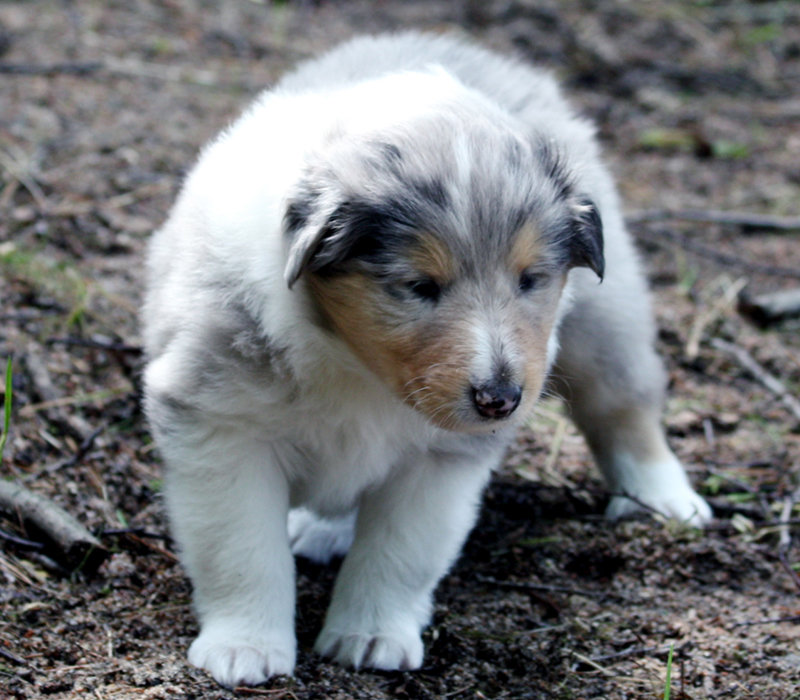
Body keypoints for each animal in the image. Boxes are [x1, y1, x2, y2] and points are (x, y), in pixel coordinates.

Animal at [144, 30, 712, 688]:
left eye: (530, 280)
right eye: (419, 286)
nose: (500, 401)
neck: (355, 366)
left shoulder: (440, 462)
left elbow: (398, 554)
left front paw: (371, 636)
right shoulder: (219, 426)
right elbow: (242, 548)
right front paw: (245, 647)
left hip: (605, 317)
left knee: (624, 406)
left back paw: (664, 499)